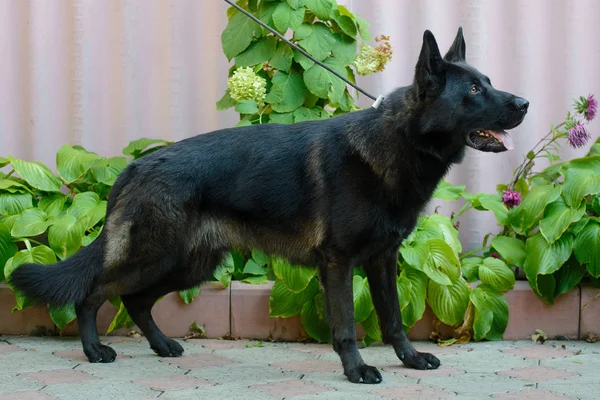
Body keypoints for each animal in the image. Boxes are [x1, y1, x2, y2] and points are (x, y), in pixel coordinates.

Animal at [8, 26, 524, 382]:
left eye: (489, 81)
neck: (397, 143)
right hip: (154, 257)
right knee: (94, 293)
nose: (524, 103)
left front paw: (411, 360)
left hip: (186, 265)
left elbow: (394, 319)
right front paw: (356, 370)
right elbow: (346, 324)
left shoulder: (383, 261)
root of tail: (136, 166)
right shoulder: (338, 263)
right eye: (474, 90)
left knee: (135, 301)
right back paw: (94, 350)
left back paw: (161, 346)